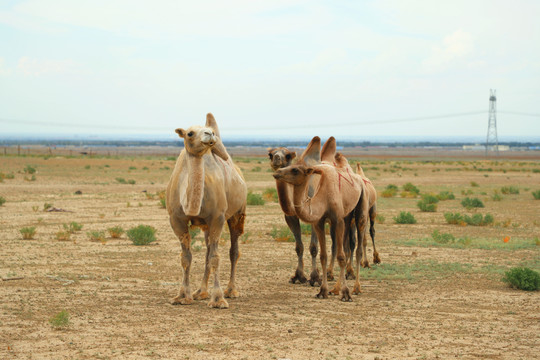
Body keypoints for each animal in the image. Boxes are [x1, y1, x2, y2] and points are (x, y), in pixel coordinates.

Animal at [167, 113, 247, 310]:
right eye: (189, 133)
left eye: (209, 130)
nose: (210, 134)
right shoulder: (176, 219)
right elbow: (186, 257)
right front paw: (182, 296)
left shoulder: (217, 217)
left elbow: (216, 257)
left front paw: (218, 299)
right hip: (205, 226)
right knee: (207, 251)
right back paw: (200, 292)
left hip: (237, 214)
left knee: (233, 251)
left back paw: (231, 291)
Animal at [272, 138, 364, 300]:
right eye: (270, 154)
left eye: (288, 156)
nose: (277, 168)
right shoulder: (301, 219)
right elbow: (309, 250)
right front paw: (302, 278)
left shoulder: (325, 219)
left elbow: (319, 249)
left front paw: (316, 279)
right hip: (342, 220)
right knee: (339, 246)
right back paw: (333, 280)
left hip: (355, 215)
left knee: (353, 245)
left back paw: (352, 281)